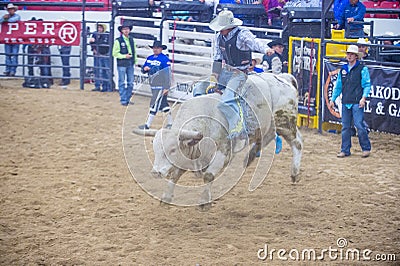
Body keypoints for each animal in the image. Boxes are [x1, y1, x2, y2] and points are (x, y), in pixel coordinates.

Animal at [133, 72, 302, 208]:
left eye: (173, 149)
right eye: (155, 149)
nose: (155, 172)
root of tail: (284, 78)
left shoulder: (222, 153)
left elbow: (208, 176)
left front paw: (204, 202)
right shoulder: (188, 155)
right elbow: (175, 175)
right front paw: (166, 198)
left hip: (285, 123)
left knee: (297, 142)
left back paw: (294, 173)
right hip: (270, 126)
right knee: (268, 137)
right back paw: (250, 156)